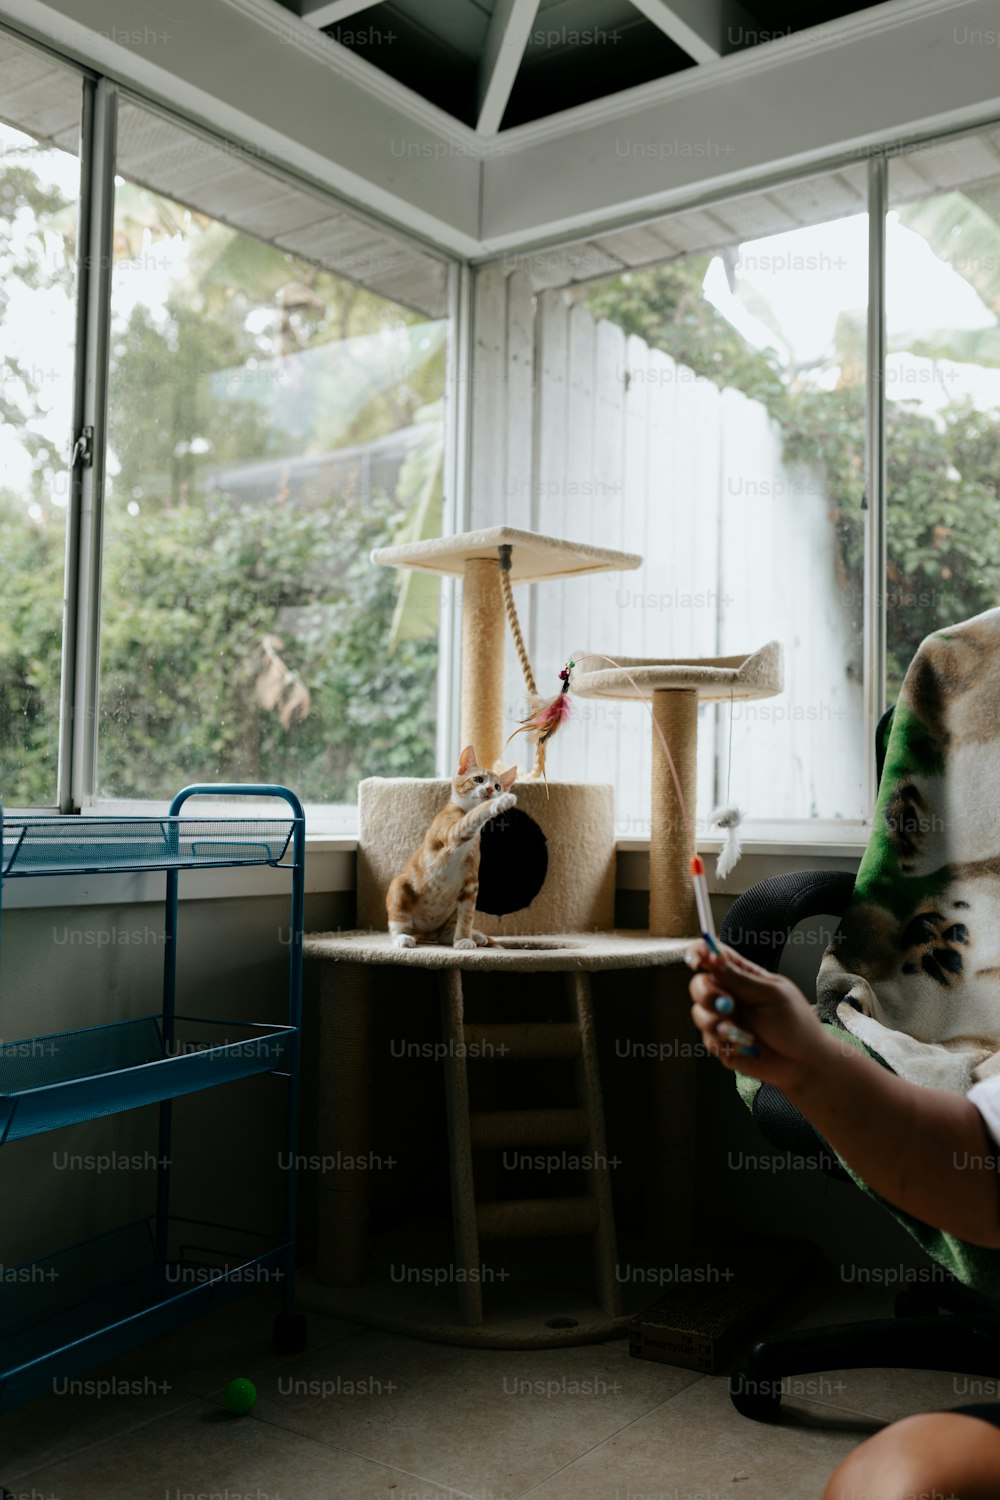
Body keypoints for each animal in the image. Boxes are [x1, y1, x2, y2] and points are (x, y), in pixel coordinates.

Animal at [389, 747, 521, 948]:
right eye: (478, 779)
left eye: (498, 786)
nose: (490, 789)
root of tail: (427, 932)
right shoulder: (452, 833)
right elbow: (473, 816)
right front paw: (499, 803)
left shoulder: (471, 883)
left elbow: (466, 916)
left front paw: (463, 939)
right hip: (400, 886)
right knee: (398, 925)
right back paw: (402, 937)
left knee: (444, 934)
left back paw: (472, 935)